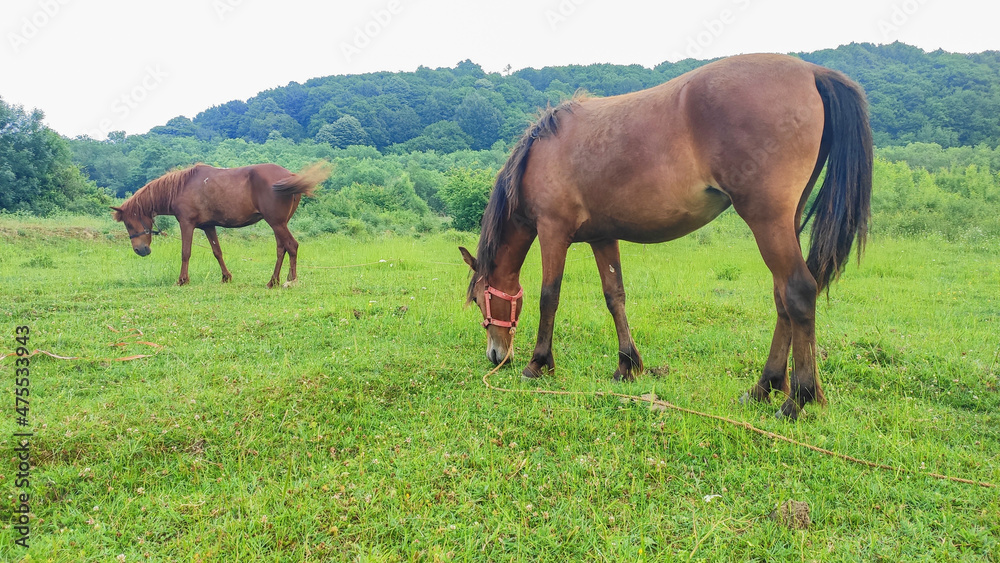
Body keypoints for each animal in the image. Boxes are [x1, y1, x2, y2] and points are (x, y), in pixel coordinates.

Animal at [112, 162, 332, 286]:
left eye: (129, 224)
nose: (140, 250)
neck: (182, 187)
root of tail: (290, 176)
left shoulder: (187, 224)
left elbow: (185, 252)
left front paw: (183, 280)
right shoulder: (209, 226)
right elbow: (217, 252)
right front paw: (226, 277)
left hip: (277, 223)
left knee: (291, 246)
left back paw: (289, 280)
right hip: (280, 224)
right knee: (282, 248)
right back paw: (274, 280)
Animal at [458, 55, 872, 420]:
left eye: (479, 300)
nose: (496, 356)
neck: (541, 154)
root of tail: (811, 71)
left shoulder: (552, 232)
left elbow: (549, 298)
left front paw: (538, 364)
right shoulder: (602, 238)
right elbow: (615, 297)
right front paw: (627, 365)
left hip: (766, 219)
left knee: (798, 291)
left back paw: (797, 399)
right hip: (785, 221)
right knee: (783, 297)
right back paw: (763, 387)